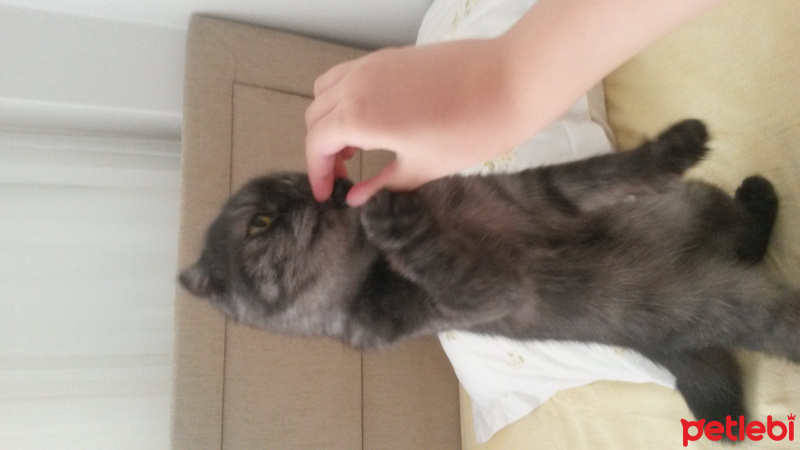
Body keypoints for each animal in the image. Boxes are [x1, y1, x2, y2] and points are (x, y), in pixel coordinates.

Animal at [178, 119, 796, 428]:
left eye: (303, 177)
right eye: (259, 222)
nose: (319, 190)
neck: (367, 260)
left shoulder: (537, 194)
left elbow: (604, 171)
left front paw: (678, 143)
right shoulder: (490, 291)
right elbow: (437, 253)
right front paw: (387, 213)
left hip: (691, 202)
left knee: (745, 229)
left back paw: (757, 196)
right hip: (737, 298)